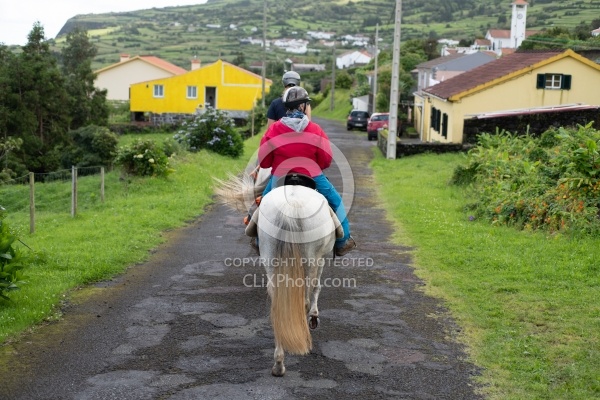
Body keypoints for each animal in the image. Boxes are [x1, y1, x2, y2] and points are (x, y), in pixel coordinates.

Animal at [214, 170, 342, 376]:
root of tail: (289, 207)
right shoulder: (321, 258)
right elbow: (317, 288)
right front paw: (314, 317)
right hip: (310, 258)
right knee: (304, 300)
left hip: (271, 256)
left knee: (278, 302)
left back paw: (279, 363)